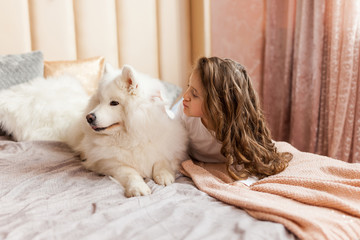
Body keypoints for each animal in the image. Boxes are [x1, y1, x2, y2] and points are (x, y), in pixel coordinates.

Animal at [68, 63, 190, 197]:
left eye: (114, 103)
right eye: (99, 102)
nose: (89, 117)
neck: (133, 136)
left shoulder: (166, 147)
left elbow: (161, 160)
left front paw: (164, 175)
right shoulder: (110, 163)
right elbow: (130, 173)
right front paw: (138, 187)